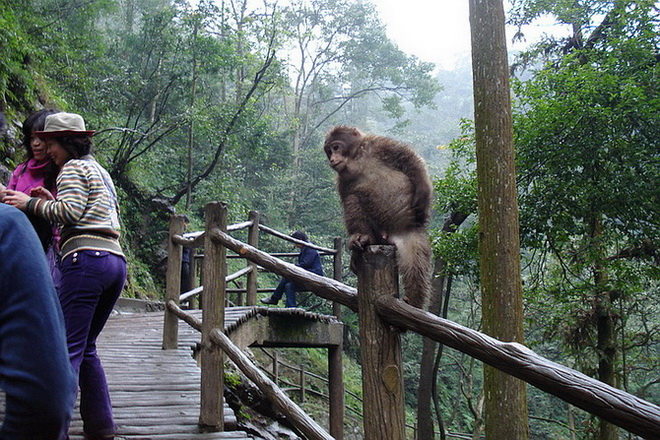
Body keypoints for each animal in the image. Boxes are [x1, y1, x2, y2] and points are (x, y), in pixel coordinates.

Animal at [324, 124, 434, 310]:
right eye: (329, 151)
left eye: (336, 147)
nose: (332, 159)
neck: (356, 160)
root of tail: (388, 236)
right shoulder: (342, 179)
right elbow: (348, 197)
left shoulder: (378, 144)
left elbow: (408, 158)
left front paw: (423, 193)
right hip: (376, 232)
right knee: (353, 198)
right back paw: (363, 237)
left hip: (409, 234)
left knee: (415, 262)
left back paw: (413, 301)